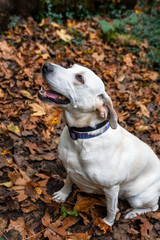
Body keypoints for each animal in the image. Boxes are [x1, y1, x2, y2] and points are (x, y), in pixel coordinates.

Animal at [38, 62, 160, 226]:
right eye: (70, 66)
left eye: (80, 78)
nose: (46, 65)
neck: (82, 137)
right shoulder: (70, 169)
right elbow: (68, 181)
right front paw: (63, 194)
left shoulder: (111, 188)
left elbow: (111, 209)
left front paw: (107, 223)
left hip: (138, 198)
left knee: (153, 207)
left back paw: (132, 213)